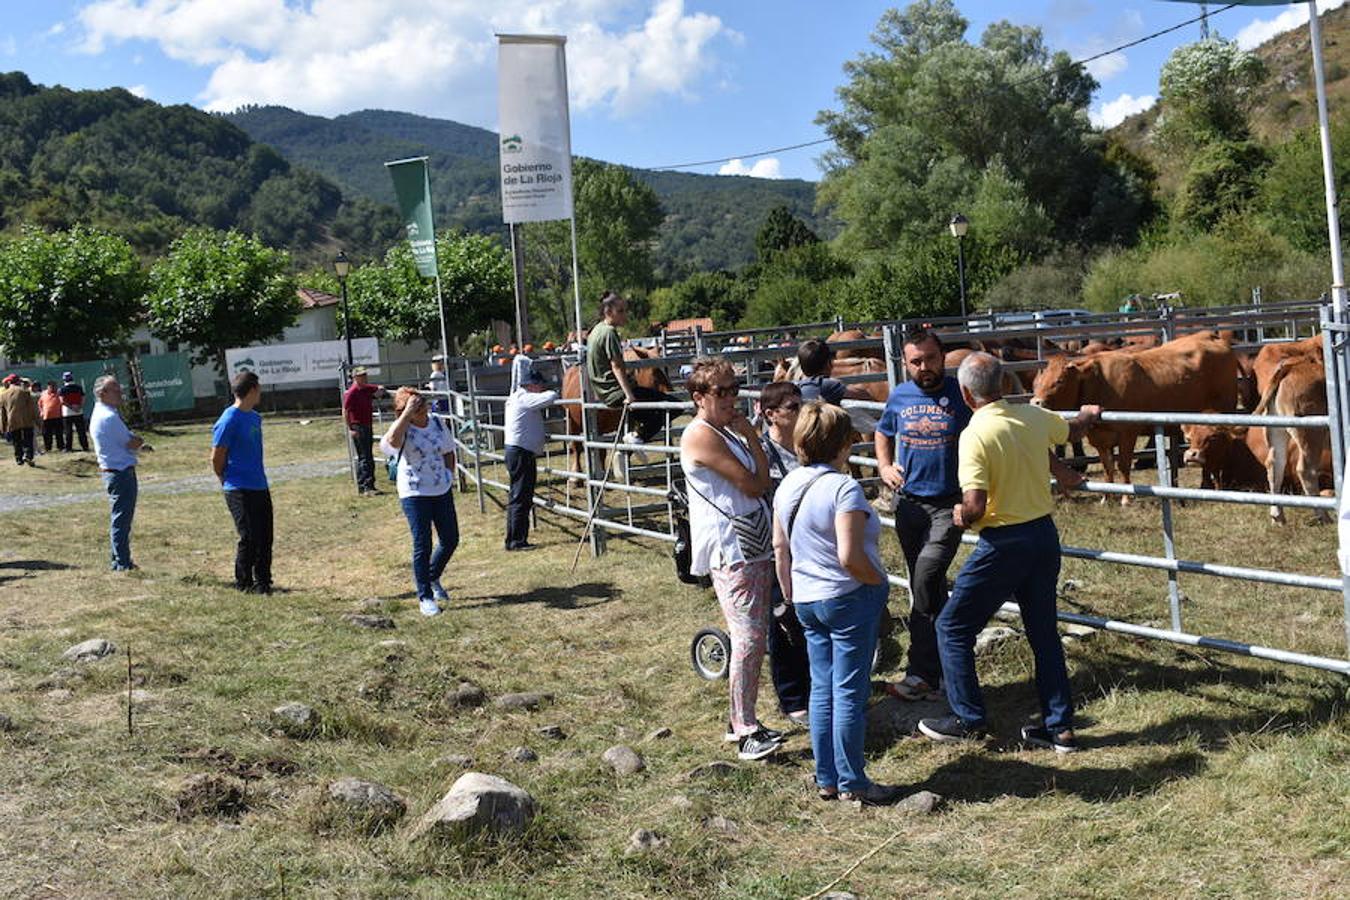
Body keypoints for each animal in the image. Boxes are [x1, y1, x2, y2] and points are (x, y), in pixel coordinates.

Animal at [558, 348, 669, 477]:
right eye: (655, 371)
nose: (670, 390)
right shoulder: (598, 429)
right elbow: (601, 451)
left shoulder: (627, 423)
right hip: (572, 422)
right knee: (577, 447)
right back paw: (576, 475)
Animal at [1036, 333, 1236, 499]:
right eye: (1039, 380)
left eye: (1059, 381)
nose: (1036, 401)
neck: (1099, 382)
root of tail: (1211, 336)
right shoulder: (1101, 438)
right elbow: (1108, 467)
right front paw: (1107, 497)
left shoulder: (1128, 432)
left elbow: (1123, 465)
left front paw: (1126, 498)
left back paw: (1208, 486)